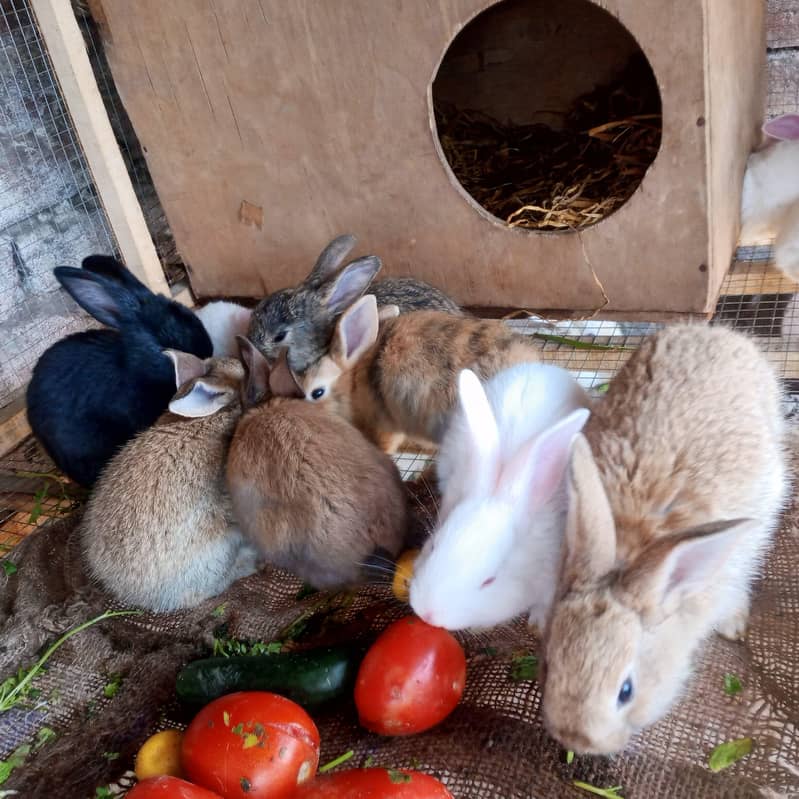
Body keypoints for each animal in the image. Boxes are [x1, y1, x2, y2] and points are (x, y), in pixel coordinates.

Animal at [540, 324, 789, 756]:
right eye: (548, 666)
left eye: (626, 691)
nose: (575, 739)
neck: (631, 552)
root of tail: (716, 331)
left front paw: (732, 624)